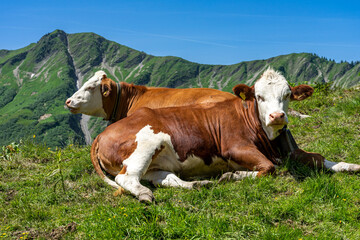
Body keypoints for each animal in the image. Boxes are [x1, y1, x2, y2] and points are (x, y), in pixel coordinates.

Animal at [89, 68, 360, 202]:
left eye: (288, 95)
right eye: (259, 97)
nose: (277, 116)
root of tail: (103, 133)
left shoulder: (292, 151)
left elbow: (320, 158)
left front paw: (351, 165)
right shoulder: (235, 148)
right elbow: (268, 168)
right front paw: (233, 175)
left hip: (158, 162)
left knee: (164, 178)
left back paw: (198, 184)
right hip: (146, 143)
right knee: (127, 178)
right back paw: (145, 195)